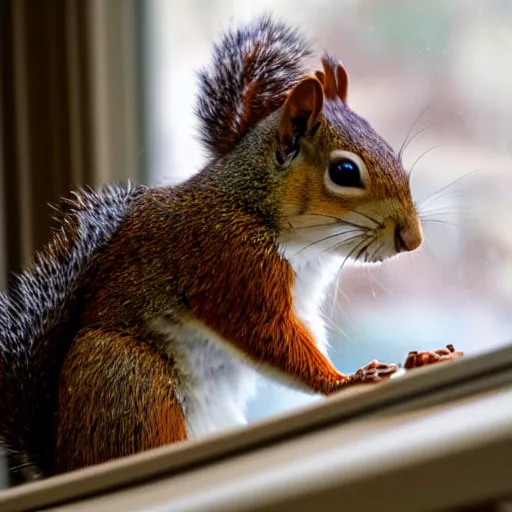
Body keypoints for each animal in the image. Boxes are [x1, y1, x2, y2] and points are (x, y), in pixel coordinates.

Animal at [0, 15, 428, 480]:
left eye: (390, 149)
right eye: (345, 171)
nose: (413, 239)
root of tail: (64, 460)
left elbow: (303, 332)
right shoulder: (231, 261)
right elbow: (267, 334)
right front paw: (345, 381)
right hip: (130, 378)